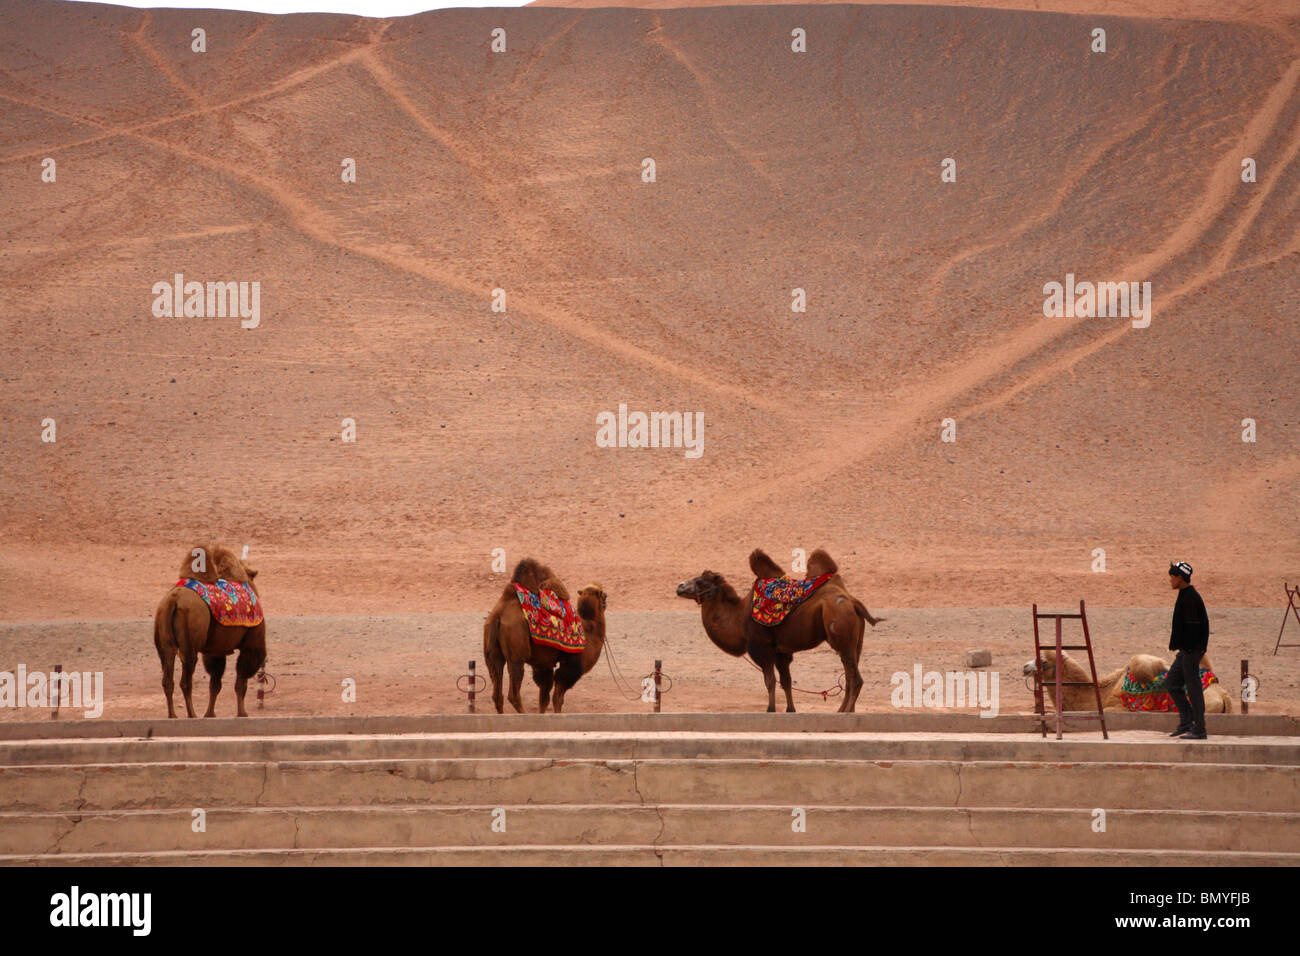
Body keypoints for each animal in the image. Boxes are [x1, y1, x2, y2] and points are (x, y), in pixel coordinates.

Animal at [150, 546, 265, 717]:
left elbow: (215, 684)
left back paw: (173, 716)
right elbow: (240, 682)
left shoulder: (215, 650)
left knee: (167, 678)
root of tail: (173, 600)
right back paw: (192, 714)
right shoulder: (251, 643)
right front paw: (242, 713)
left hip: (163, 638)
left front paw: (210, 714)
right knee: (186, 680)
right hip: (190, 642)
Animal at [483, 561, 608, 712]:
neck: (589, 630)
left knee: (497, 693)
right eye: (604, 596)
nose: (606, 601)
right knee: (513, 693)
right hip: (516, 653)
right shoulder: (572, 664)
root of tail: (498, 615)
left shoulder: (543, 663)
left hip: (491, 652)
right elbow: (558, 697)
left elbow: (544, 696)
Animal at [681, 548, 883, 712]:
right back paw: (842, 710)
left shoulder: (761, 647)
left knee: (855, 677)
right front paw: (790, 709)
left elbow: (770, 681)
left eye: (700, 581)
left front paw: (770, 709)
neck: (739, 617)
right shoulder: (781, 652)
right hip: (855, 642)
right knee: (849, 674)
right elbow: (786, 682)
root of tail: (852, 602)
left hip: (842, 635)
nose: (680, 586)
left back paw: (846, 711)